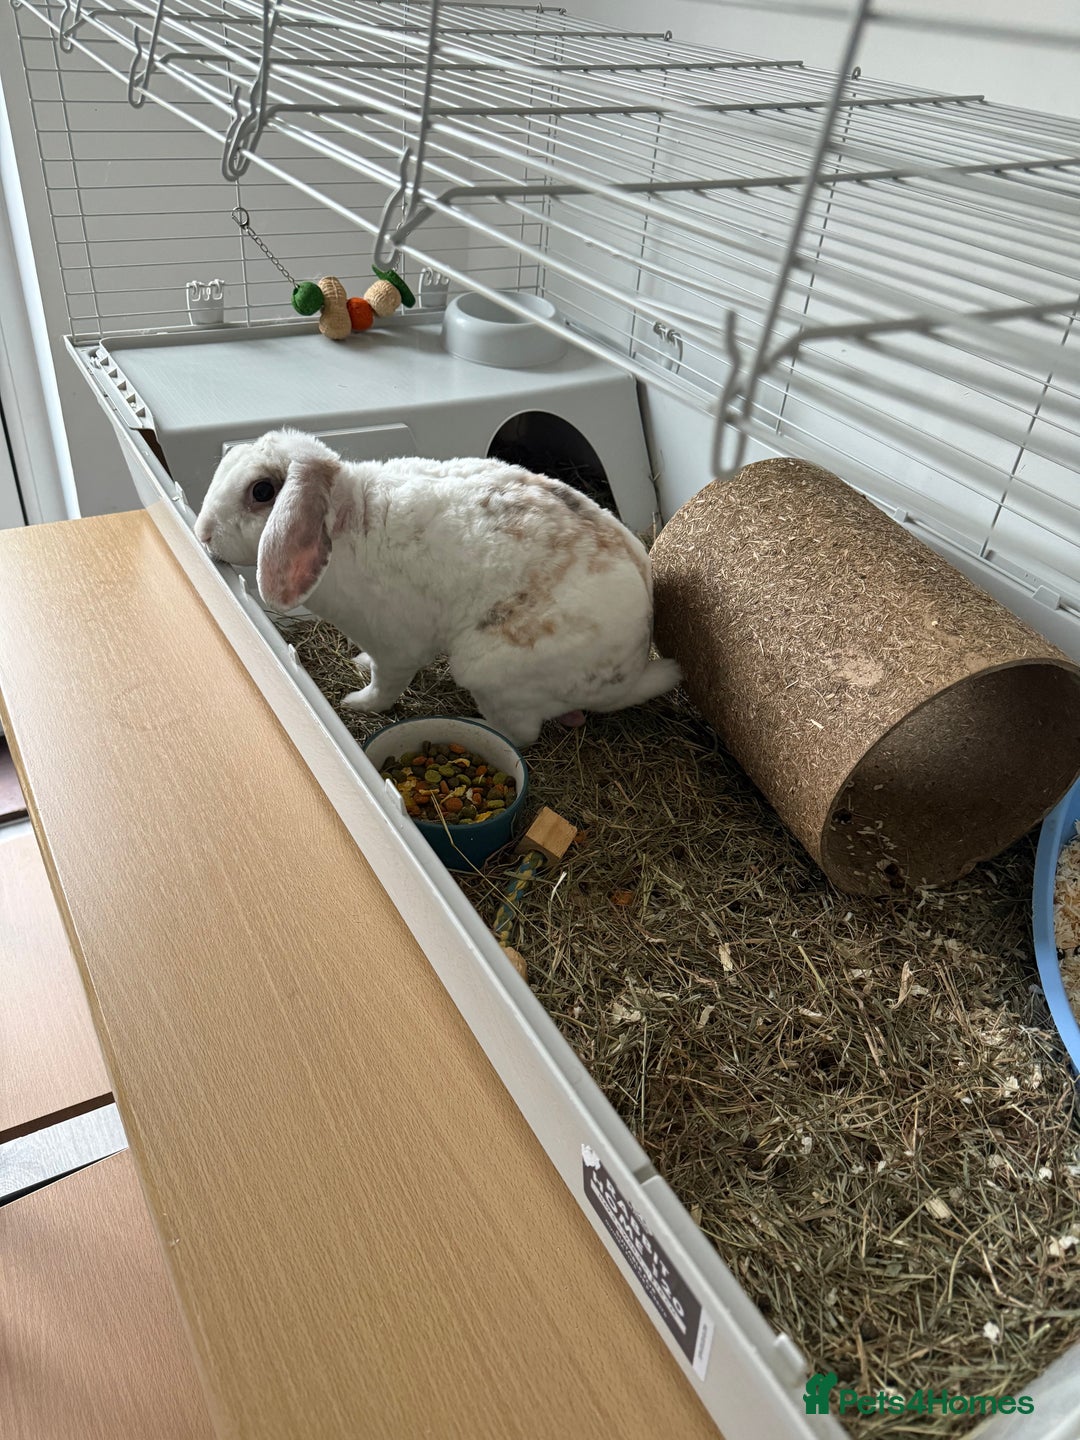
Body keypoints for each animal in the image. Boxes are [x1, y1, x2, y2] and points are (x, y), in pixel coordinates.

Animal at [193, 428, 681, 747]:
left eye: (261, 491)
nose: (202, 533)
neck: (348, 522)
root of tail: (630, 675)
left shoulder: (396, 648)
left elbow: (385, 687)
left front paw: (357, 702)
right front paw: (356, 663)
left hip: (490, 674)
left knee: (522, 734)